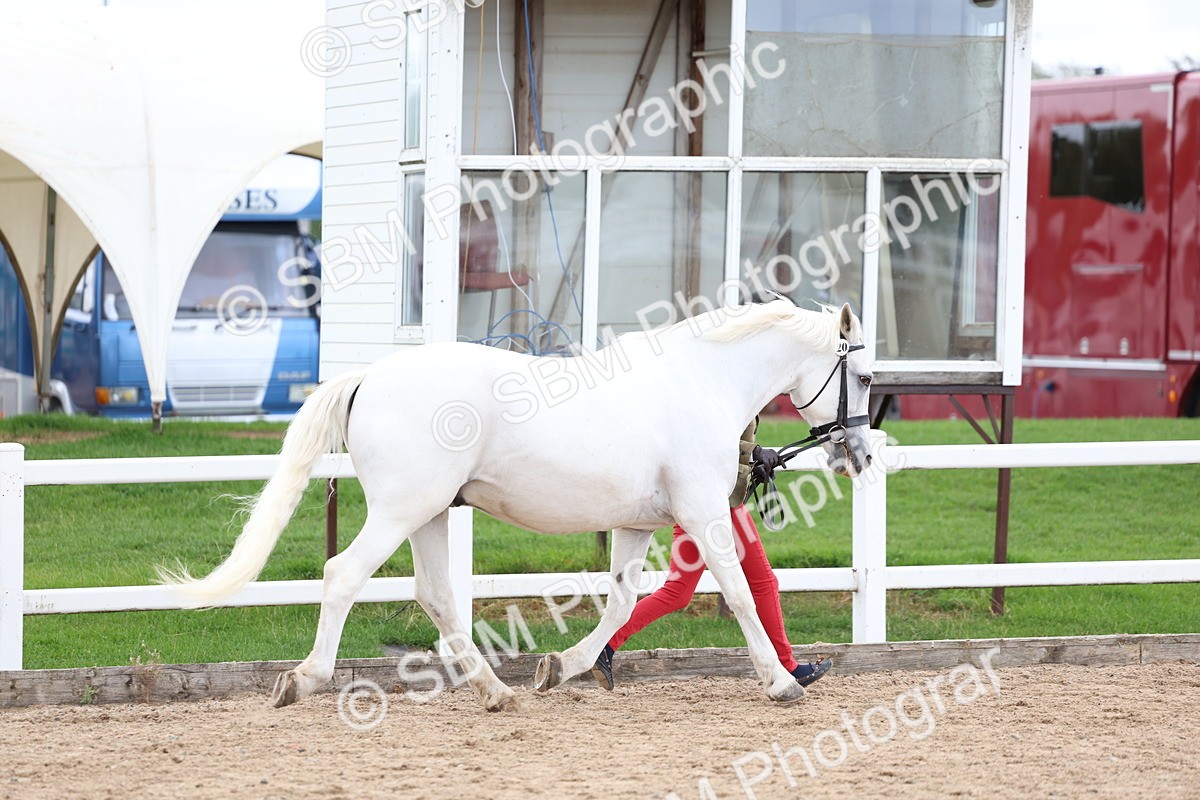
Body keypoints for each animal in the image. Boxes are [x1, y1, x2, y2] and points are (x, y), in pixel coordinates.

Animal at [159, 299, 874, 711]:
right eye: (865, 375)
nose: (860, 455)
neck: (702, 380)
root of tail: (368, 377)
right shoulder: (701, 514)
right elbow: (740, 594)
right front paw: (782, 683)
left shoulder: (637, 524)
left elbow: (620, 601)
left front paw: (560, 668)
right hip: (401, 510)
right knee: (343, 575)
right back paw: (304, 680)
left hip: (430, 514)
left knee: (436, 595)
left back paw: (496, 691)